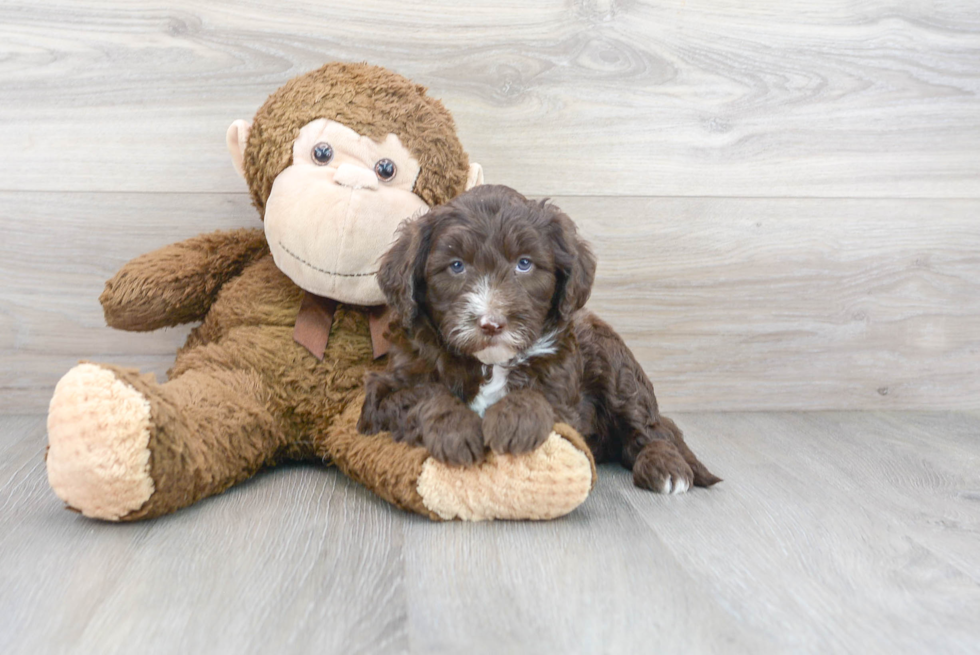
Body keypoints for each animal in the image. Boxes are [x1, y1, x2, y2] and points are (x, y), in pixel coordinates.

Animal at [360, 184, 720, 492]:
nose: (491, 324)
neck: (490, 364)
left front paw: (514, 420)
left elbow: (539, 396)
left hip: (615, 365)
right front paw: (456, 431)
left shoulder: (565, 396)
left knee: (650, 427)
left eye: (524, 264)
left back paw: (666, 467)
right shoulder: (385, 392)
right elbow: (423, 395)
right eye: (456, 266)